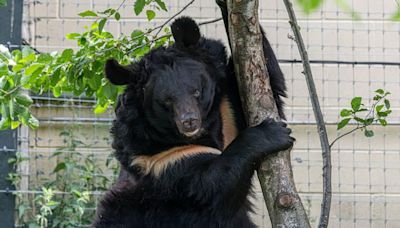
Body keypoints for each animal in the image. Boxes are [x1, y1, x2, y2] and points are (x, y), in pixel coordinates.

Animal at [94, 13, 294, 228]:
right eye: (166, 101)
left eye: (196, 91)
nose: (189, 121)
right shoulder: (160, 163)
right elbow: (212, 187)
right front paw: (274, 133)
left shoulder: (228, 110)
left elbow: (269, 84)